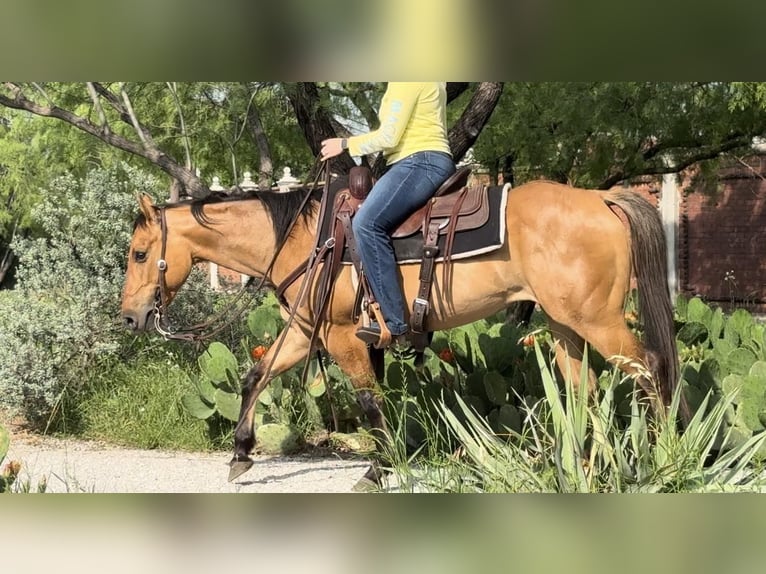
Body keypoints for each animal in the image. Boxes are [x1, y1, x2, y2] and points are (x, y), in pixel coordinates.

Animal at [121, 174, 684, 490]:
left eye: (140, 254)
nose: (129, 317)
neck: (305, 238)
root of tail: (602, 198)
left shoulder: (342, 336)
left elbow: (370, 402)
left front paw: (380, 467)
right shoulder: (305, 332)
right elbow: (254, 376)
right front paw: (240, 453)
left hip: (600, 321)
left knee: (650, 371)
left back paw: (666, 458)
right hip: (565, 323)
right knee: (583, 389)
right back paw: (582, 466)